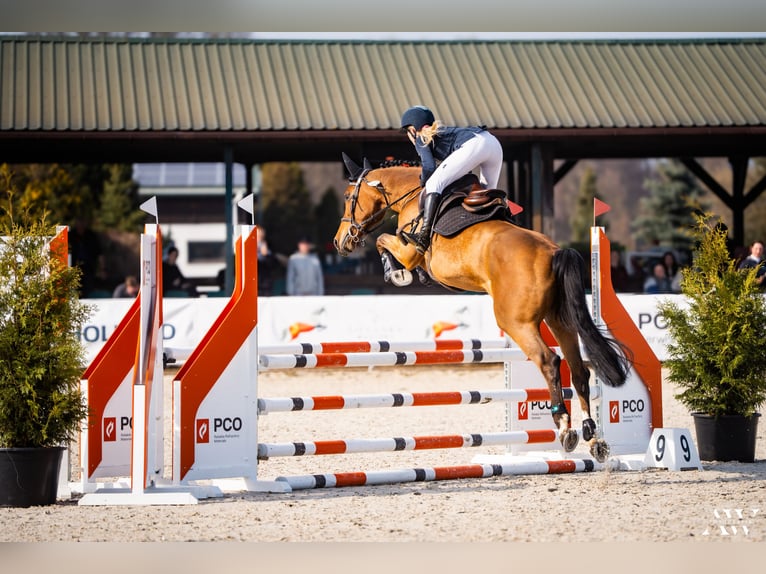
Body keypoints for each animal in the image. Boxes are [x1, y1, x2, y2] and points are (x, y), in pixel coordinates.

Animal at [333, 155, 632, 462]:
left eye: (347, 197)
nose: (340, 241)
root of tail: (553, 252)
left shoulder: (409, 251)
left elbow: (384, 242)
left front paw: (396, 274)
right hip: (558, 320)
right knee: (578, 369)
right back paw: (593, 438)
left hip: (516, 323)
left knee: (549, 361)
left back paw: (564, 428)